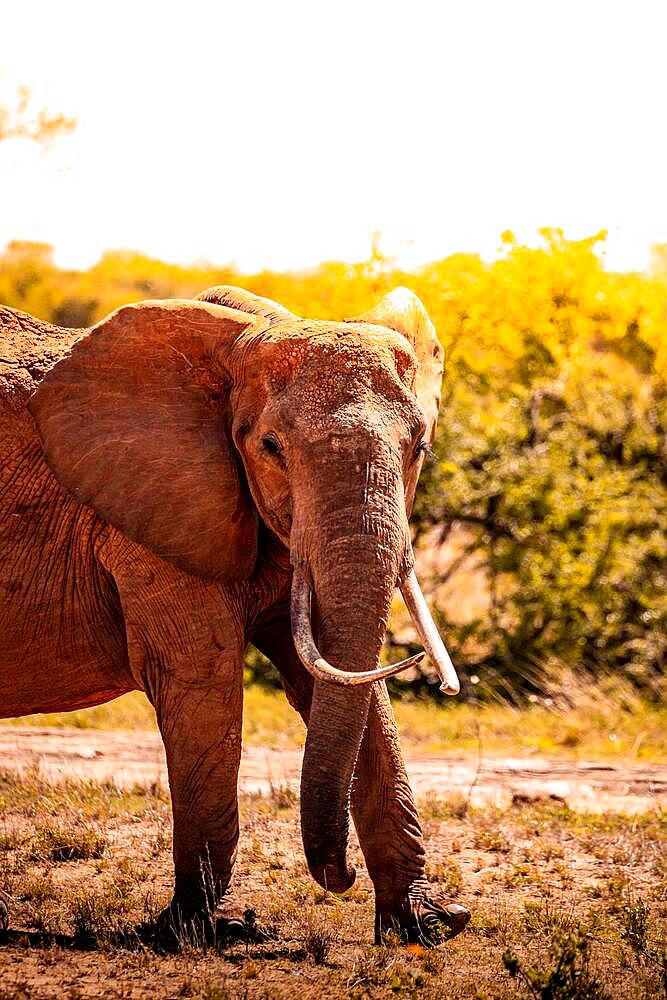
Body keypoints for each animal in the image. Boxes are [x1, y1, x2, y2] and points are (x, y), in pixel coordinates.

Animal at [0, 288, 470, 944]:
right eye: (270, 448)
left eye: (419, 448)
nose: (339, 877)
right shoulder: (155, 514)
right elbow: (205, 681)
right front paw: (200, 930)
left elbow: (340, 677)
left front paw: (430, 924)